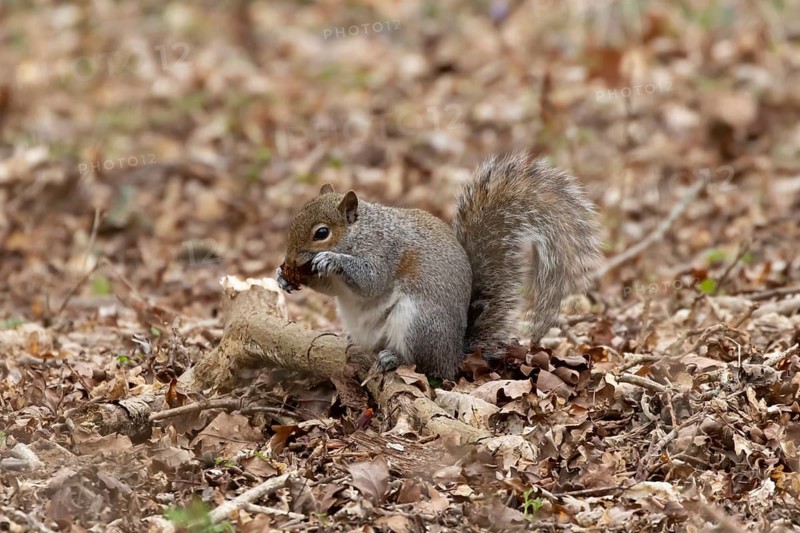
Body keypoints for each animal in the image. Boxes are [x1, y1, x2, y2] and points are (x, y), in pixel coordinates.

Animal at [276, 154, 601, 379]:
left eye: (322, 233)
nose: (289, 260)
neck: (359, 233)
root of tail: (454, 354)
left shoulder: (385, 250)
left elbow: (371, 280)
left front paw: (331, 260)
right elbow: (331, 289)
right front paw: (284, 278)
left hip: (418, 322)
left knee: (425, 365)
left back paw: (394, 359)